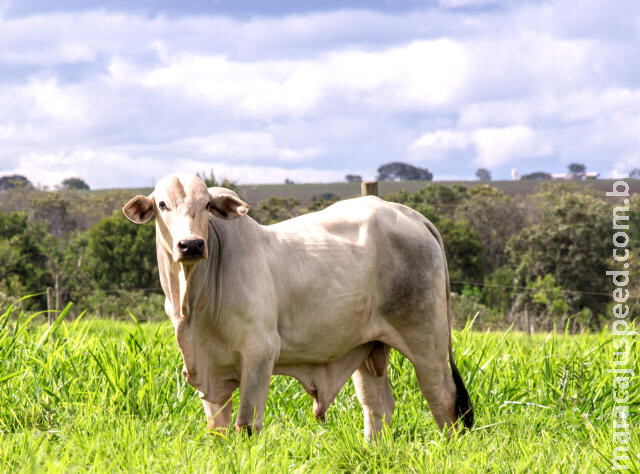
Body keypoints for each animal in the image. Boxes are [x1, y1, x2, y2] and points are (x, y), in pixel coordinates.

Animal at [125, 173, 472, 436]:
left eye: (207, 204)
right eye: (162, 204)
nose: (191, 245)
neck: (194, 300)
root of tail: (412, 215)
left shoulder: (260, 354)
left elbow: (246, 424)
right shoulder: (208, 370)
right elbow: (218, 428)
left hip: (427, 340)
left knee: (444, 400)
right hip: (367, 347)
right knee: (378, 406)